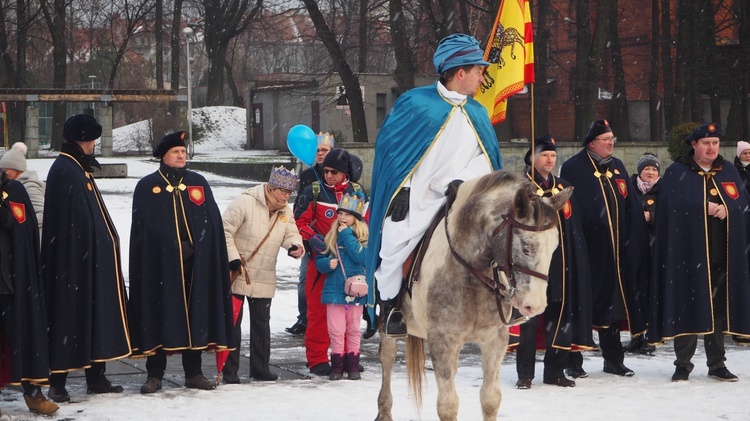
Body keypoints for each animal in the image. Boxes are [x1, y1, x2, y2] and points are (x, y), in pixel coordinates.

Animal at [378, 171, 572, 420]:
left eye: (555, 246)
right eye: (526, 247)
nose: (535, 306)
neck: (471, 272)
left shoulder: (495, 339)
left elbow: (490, 399)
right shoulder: (443, 340)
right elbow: (448, 406)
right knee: (388, 357)